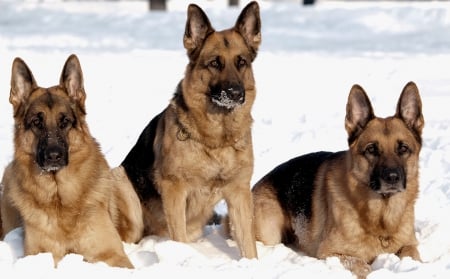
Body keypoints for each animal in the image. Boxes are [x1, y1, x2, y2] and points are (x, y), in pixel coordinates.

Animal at [0, 55, 143, 270]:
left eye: (65, 121)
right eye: (36, 122)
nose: (54, 156)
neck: (59, 197)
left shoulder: (113, 255)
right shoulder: (41, 256)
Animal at [119, 1, 260, 260]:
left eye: (241, 62)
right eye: (215, 63)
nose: (236, 93)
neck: (216, 139)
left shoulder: (239, 193)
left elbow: (248, 244)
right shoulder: (174, 189)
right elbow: (179, 238)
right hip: (122, 181)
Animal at [253, 82, 422, 278]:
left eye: (403, 149)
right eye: (371, 149)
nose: (392, 177)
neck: (381, 219)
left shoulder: (410, 245)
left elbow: (411, 255)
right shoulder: (330, 253)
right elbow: (362, 265)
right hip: (270, 232)